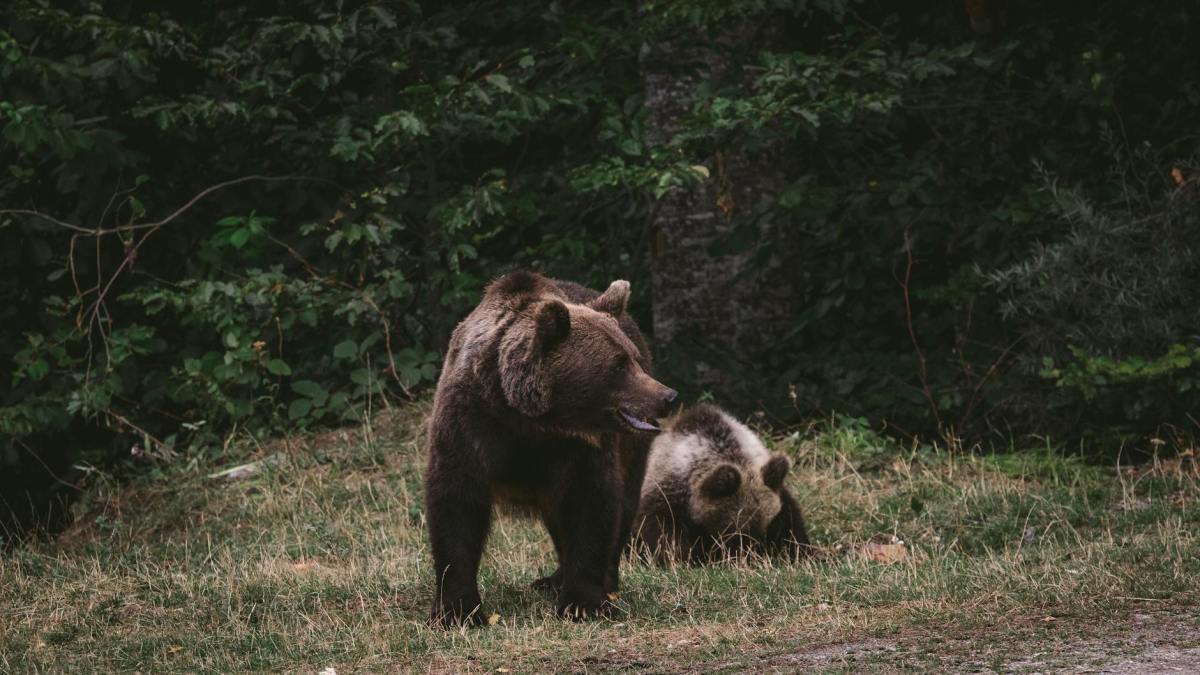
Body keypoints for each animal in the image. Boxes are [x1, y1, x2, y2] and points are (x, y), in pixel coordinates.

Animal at [424, 270, 677, 626]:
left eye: (634, 360)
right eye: (618, 366)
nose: (668, 397)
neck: (530, 420)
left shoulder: (579, 448)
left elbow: (591, 506)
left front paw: (584, 602)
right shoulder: (469, 424)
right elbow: (455, 504)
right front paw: (456, 610)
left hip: (631, 450)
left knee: (623, 503)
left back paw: (599, 580)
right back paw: (553, 579)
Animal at [633, 403, 810, 563]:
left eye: (769, 526)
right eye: (736, 534)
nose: (754, 557)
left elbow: (792, 523)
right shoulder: (666, 492)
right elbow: (662, 530)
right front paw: (683, 557)